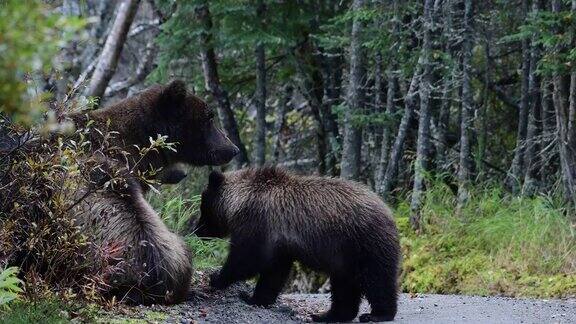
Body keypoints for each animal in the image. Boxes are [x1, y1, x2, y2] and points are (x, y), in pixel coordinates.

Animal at [196, 167, 398, 322]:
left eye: (203, 209)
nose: (198, 231)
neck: (240, 201)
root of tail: (387, 209)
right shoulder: (279, 243)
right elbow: (273, 272)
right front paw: (256, 298)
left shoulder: (258, 222)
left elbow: (247, 258)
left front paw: (218, 278)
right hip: (344, 256)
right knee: (344, 285)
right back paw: (326, 315)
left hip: (362, 243)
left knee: (376, 278)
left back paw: (377, 314)